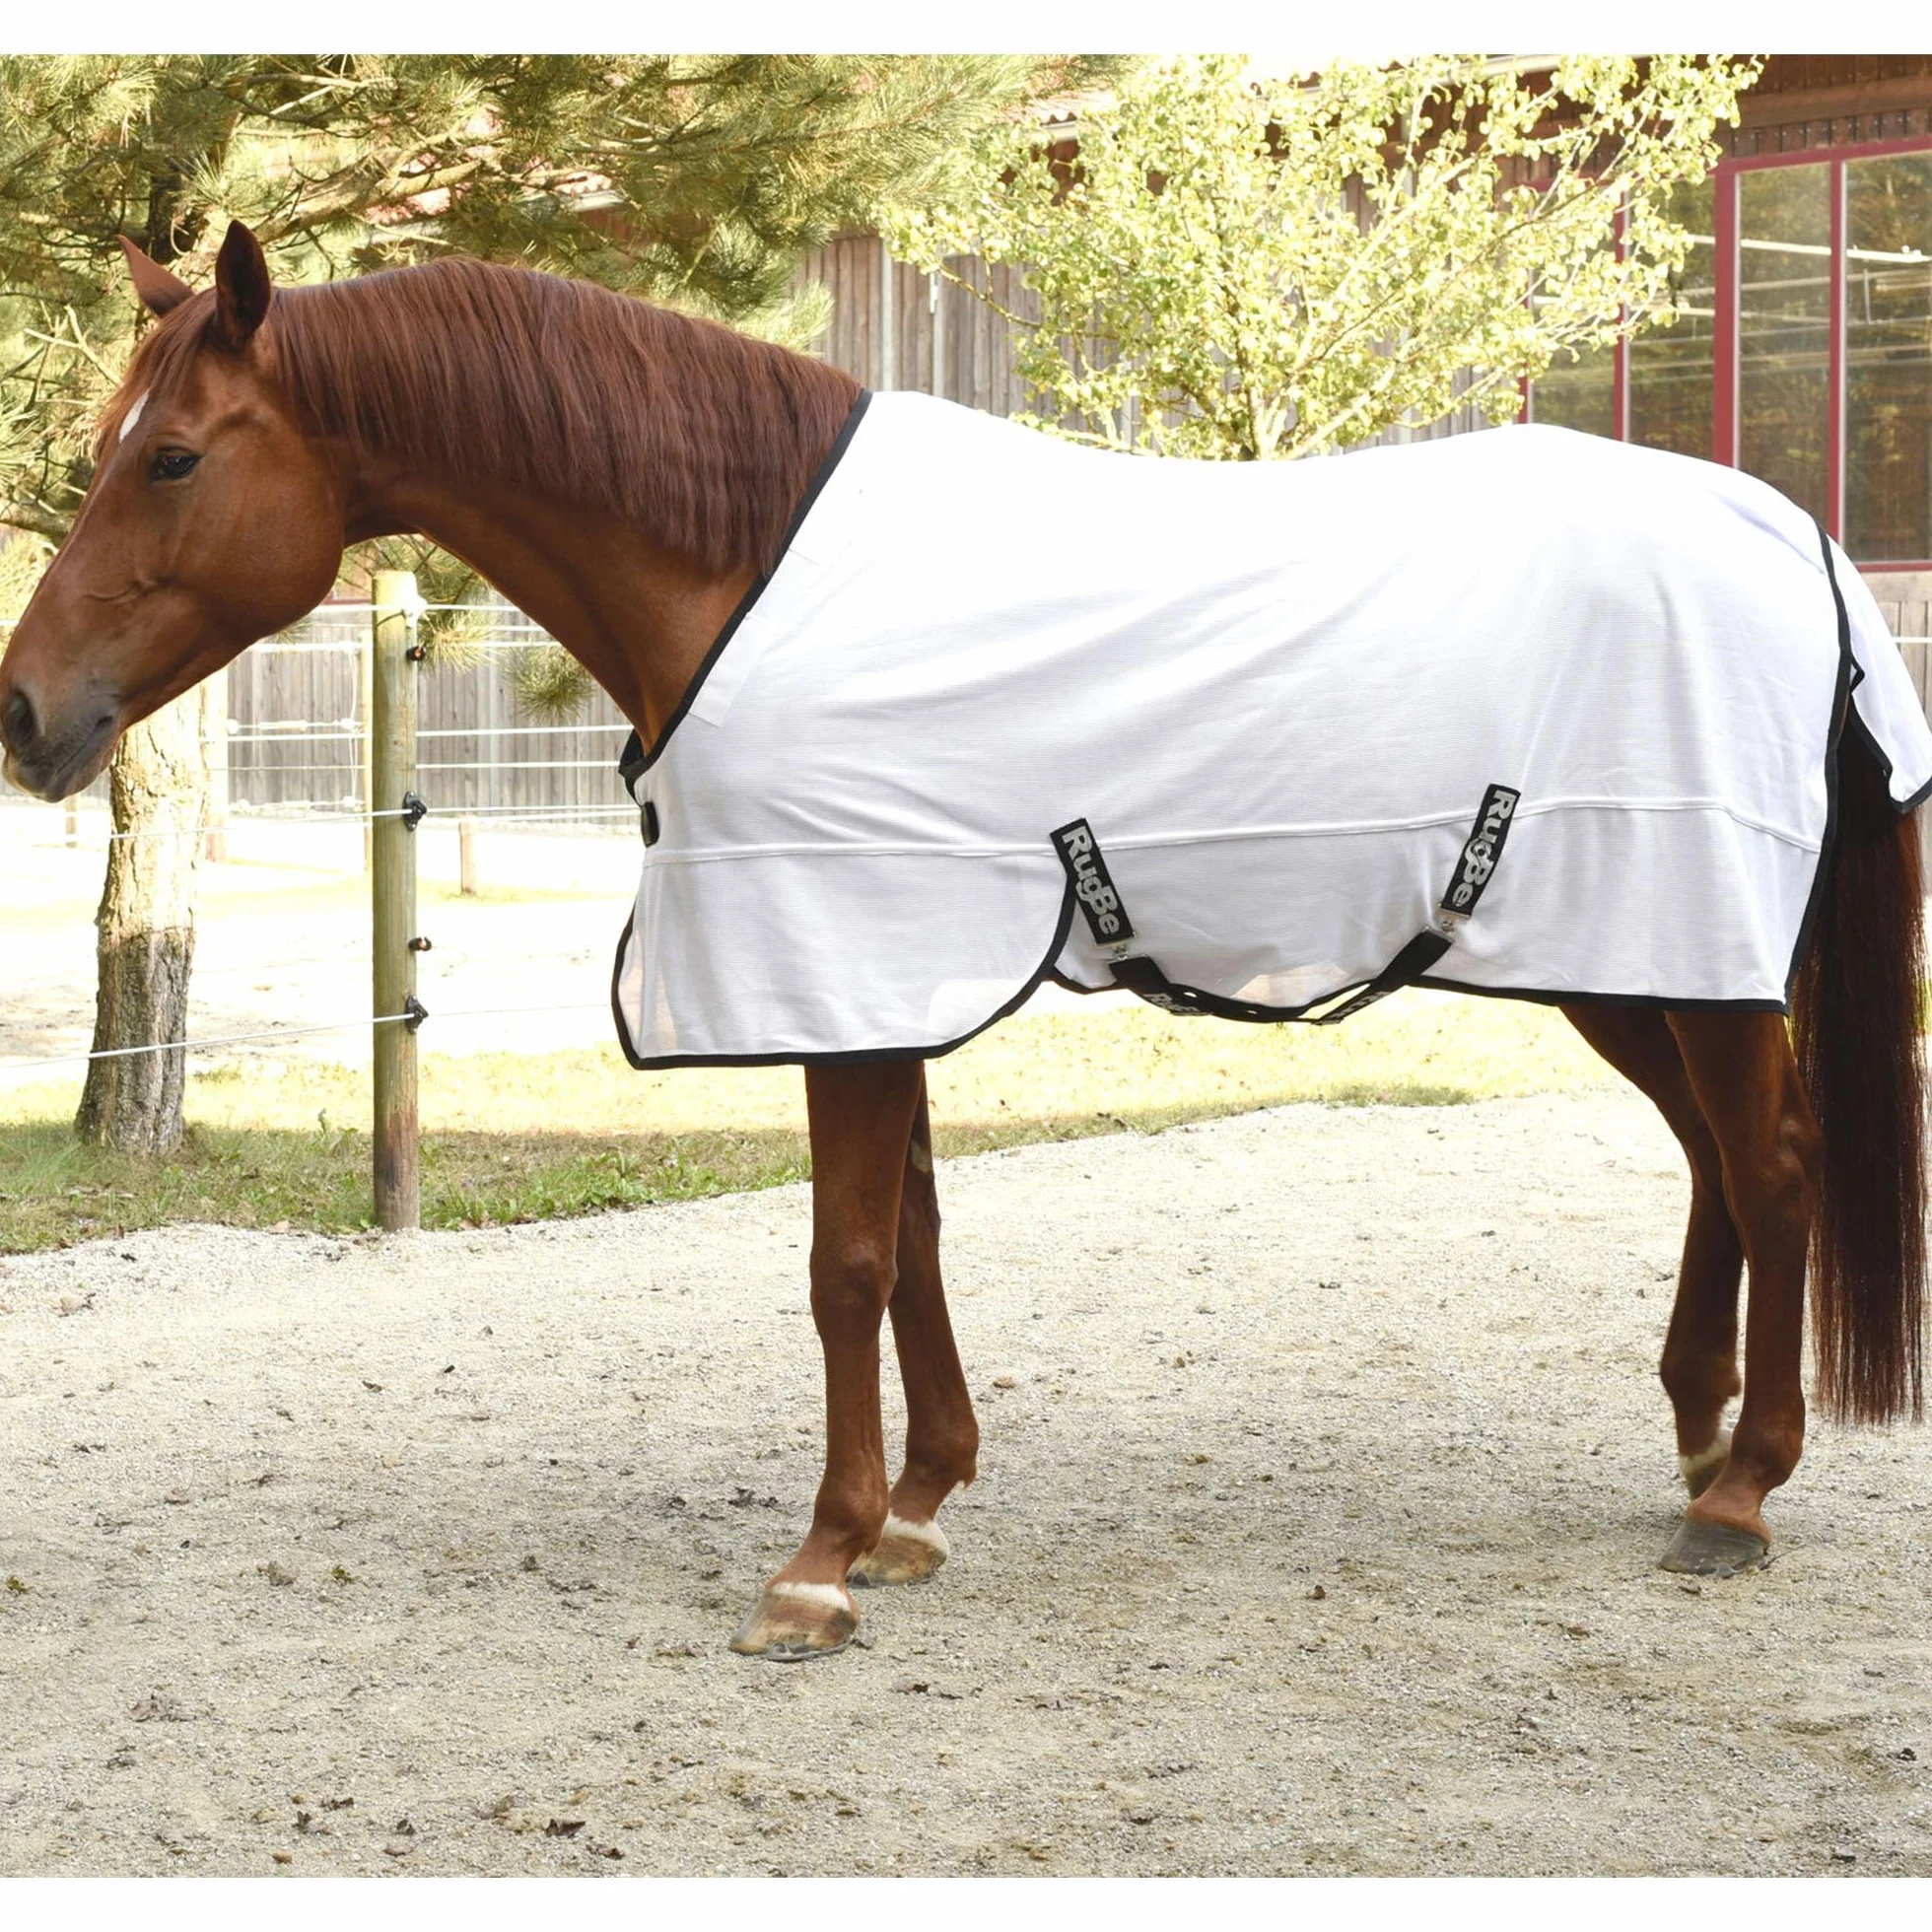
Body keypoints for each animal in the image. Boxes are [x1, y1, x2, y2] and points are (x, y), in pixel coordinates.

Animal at [2, 221, 1925, 1662]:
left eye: (172, 456)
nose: (22, 713)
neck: (737, 566)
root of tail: (1789, 533)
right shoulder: (888, 970)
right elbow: (917, 1232)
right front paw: (918, 1510)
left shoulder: (849, 969)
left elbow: (846, 1262)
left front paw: (820, 1561)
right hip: (1630, 961)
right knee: (1721, 1164)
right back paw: (1696, 1437)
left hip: (1677, 950)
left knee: (1773, 1166)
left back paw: (1743, 1490)